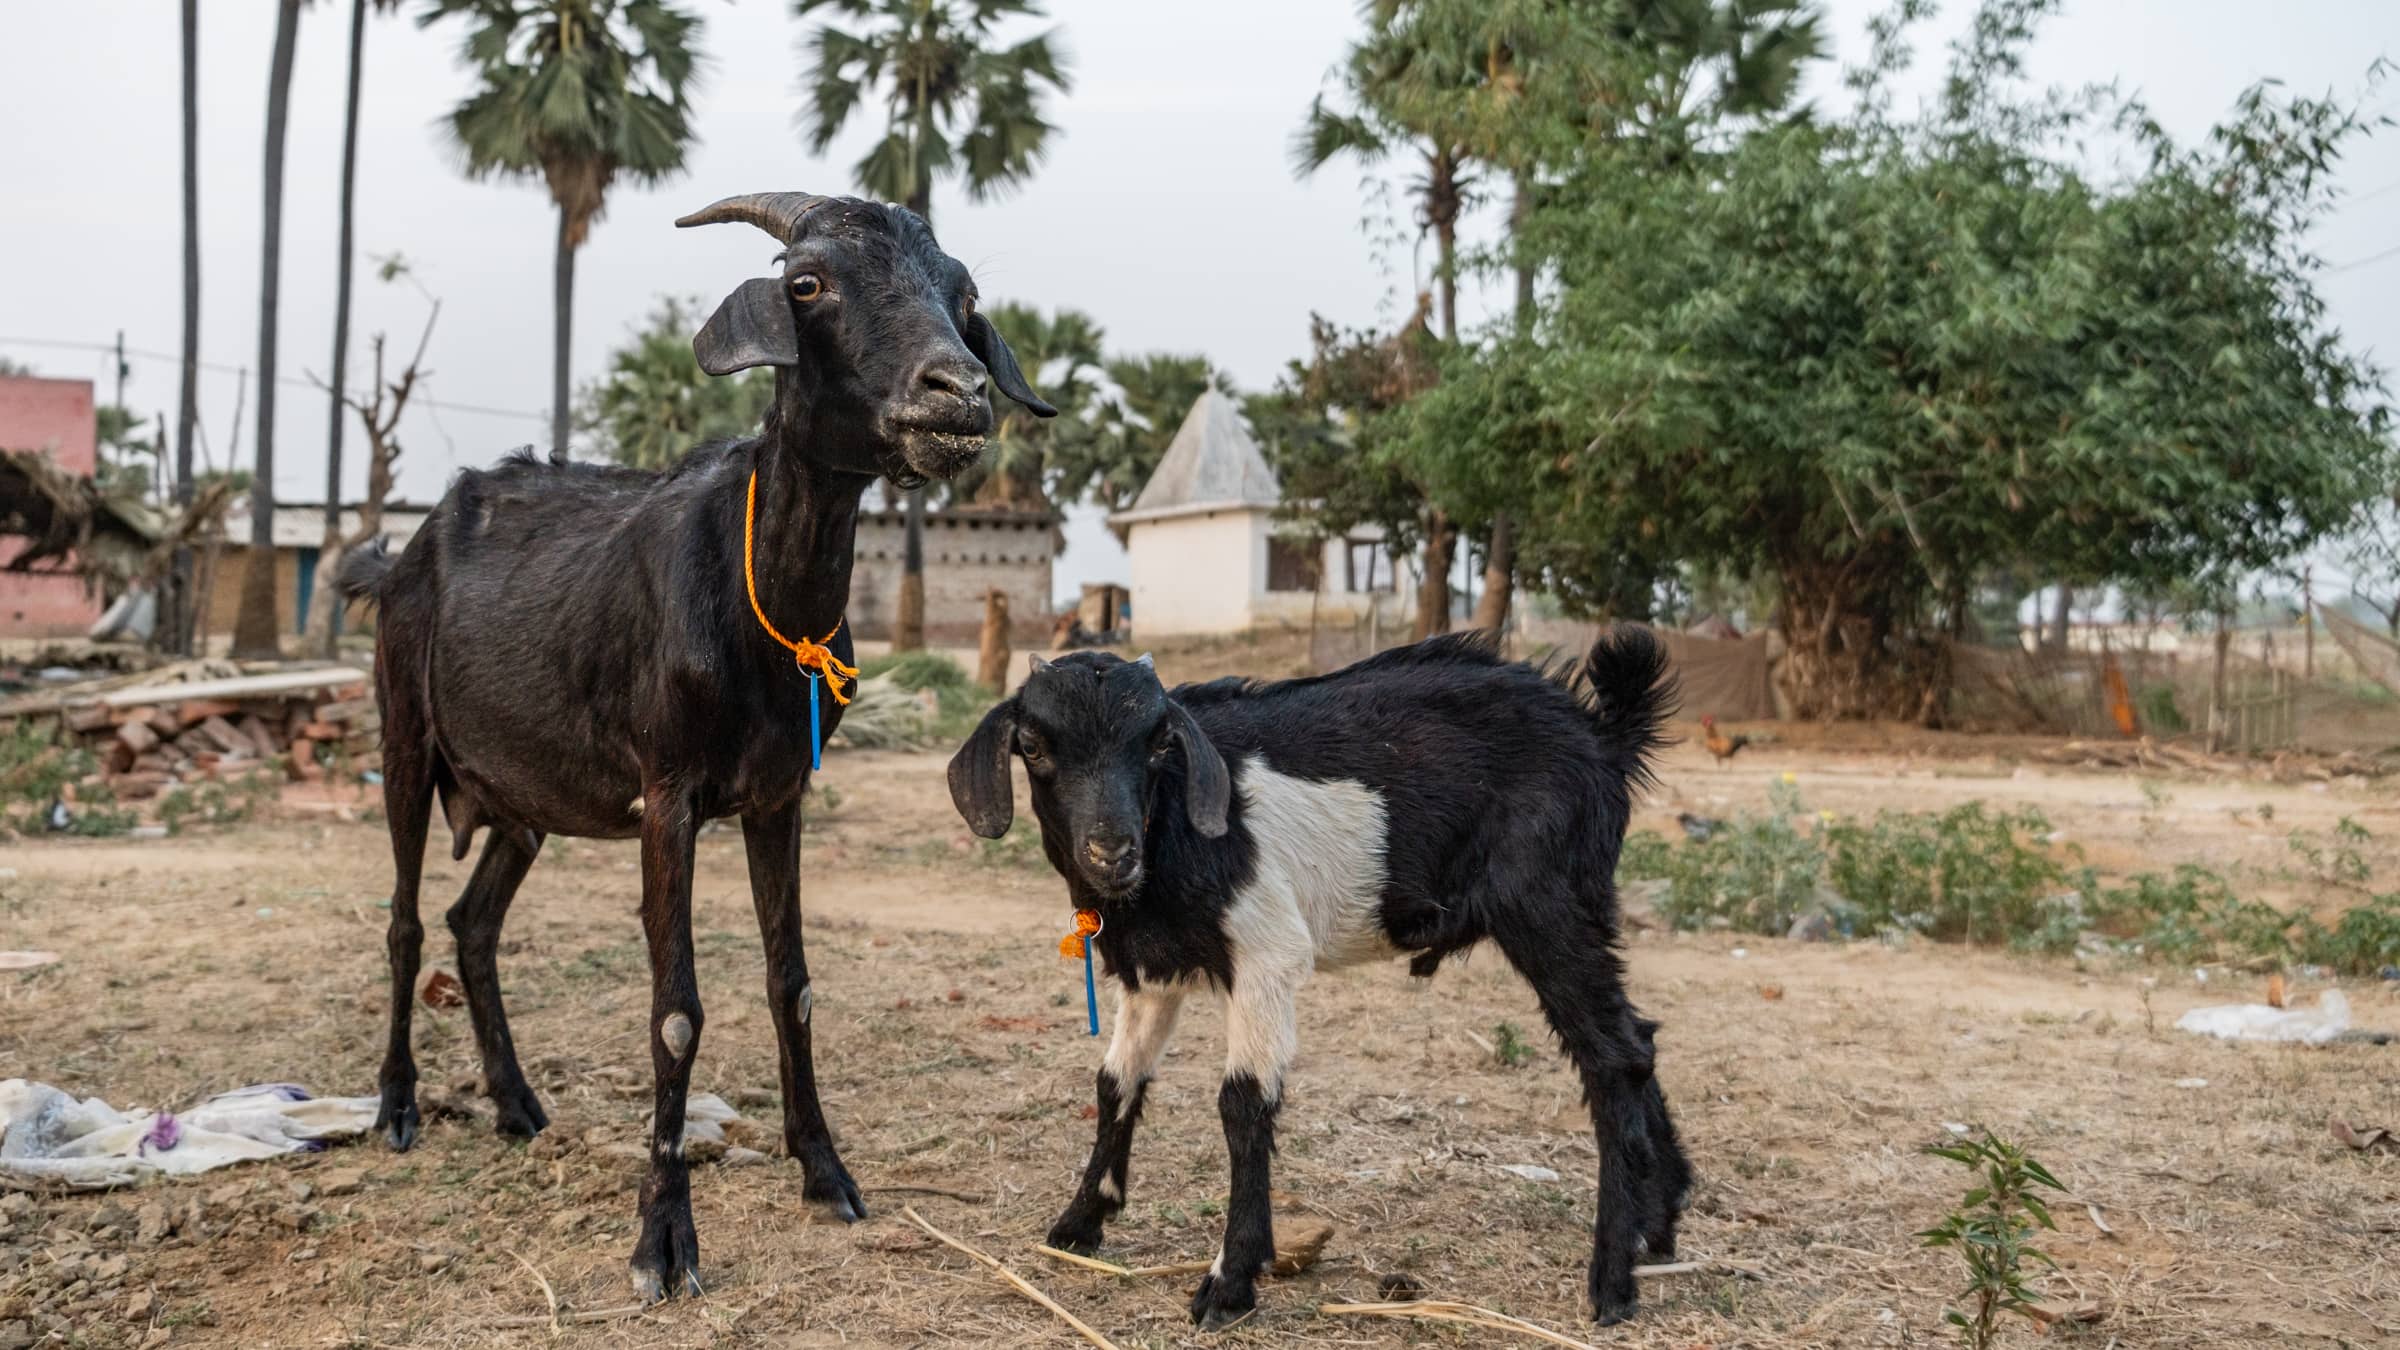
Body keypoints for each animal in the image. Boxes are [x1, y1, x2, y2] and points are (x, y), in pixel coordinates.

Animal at [337, 190, 1054, 1305]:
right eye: (807, 284)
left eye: (964, 295)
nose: (958, 396)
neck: (764, 603)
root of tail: (398, 557)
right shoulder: (668, 795)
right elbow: (675, 1010)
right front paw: (662, 1238)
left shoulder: (778, 796)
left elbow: (793, 984)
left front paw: (826, 1172)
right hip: (407, 741)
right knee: (409, 922)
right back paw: (399, 1106)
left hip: (524, 802)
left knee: (472, 923)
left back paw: (516, 1104)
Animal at [947, 629, 1692, 1329]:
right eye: (1034, 745)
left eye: (1158, 743)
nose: (1112, 852)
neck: (1170, 837)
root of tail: (1604, 735)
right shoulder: (1150, 971)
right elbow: (1116, 1083)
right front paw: (1081, 1222)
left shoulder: (1266, 953)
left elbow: (1243, 1102)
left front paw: (1230, 1281)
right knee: (1640, 1040)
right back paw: (1659, 1224)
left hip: (1545, 903)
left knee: (1613, 1056)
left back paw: (1612, 1281)